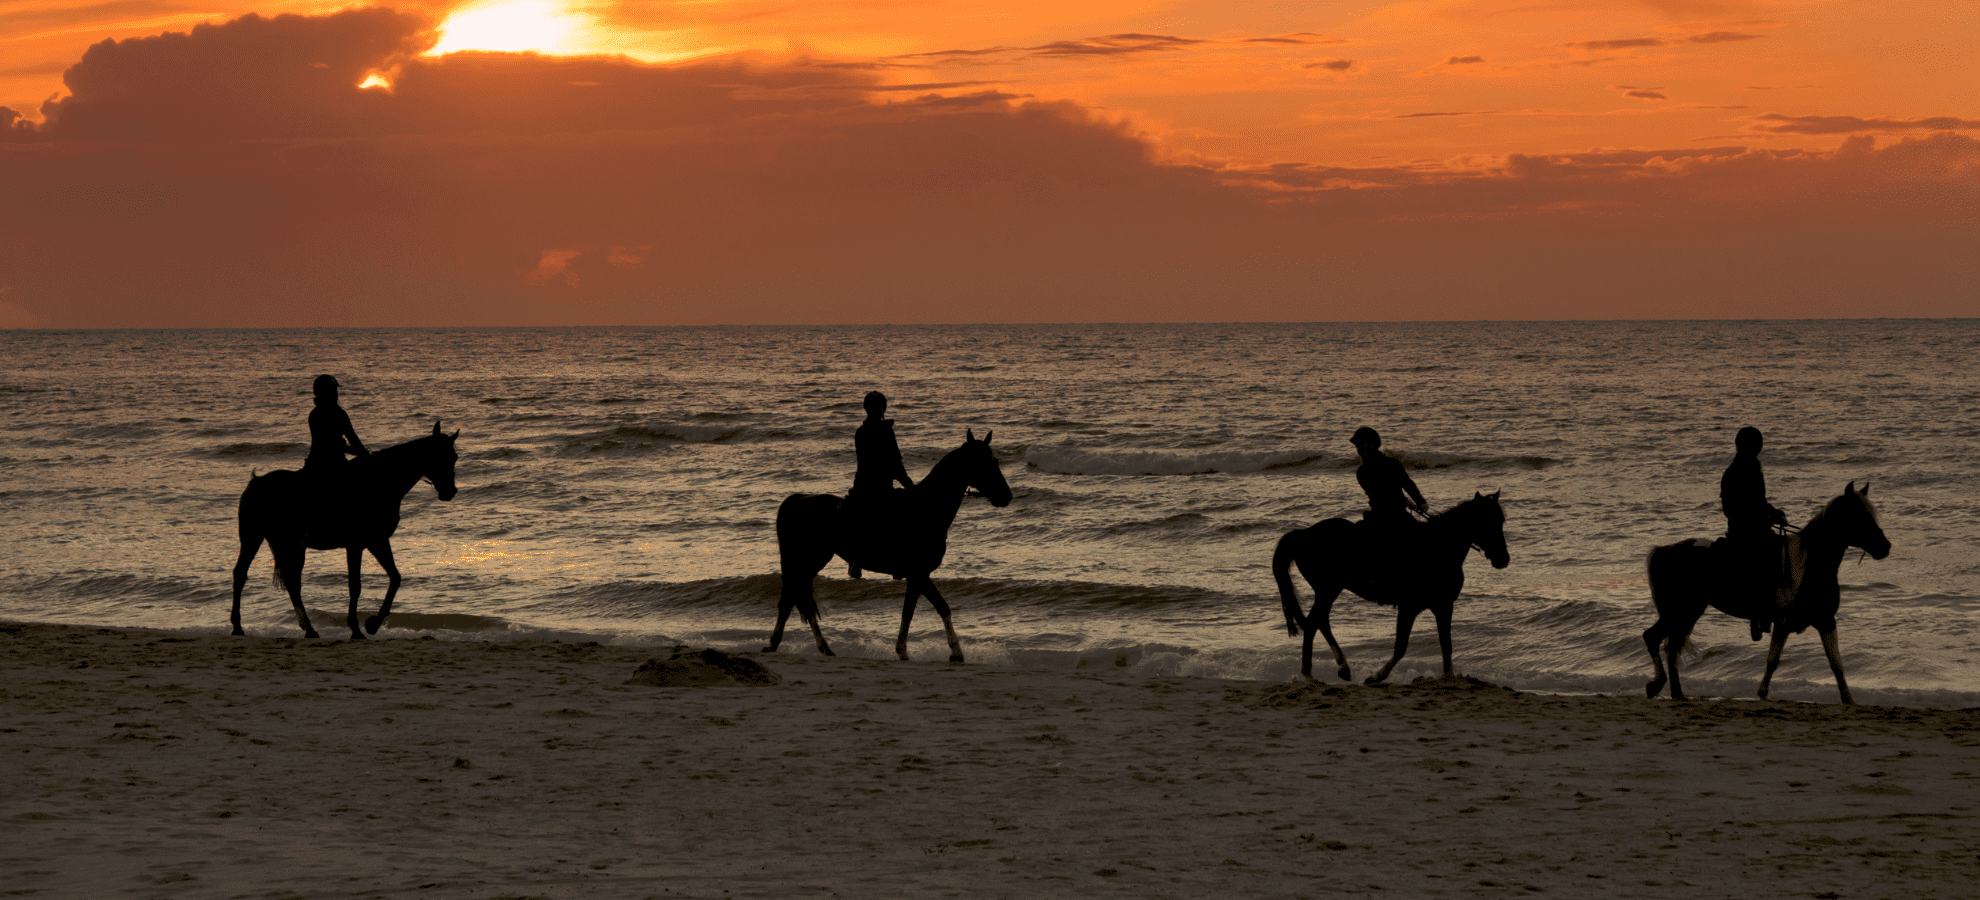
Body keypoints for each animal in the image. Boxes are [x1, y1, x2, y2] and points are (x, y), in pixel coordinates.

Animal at [229, 423, 461, 640]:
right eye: (439, 455)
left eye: (454, 456)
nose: (450, 491)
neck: (379, 482)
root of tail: (255, 483)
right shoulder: (356, 545)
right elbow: (355, 586)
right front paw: (356, 629)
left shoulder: (377, 541)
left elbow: (395, 578)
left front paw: (373, 625)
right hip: (255, 537)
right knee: (244, 574)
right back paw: (239, 627)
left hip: (288, 543)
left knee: (290, 582)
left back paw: (308, 629)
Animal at [768, 433, 1013, 664]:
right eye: (983, 463)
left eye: (995, 460)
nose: (1006, 496)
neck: (926, 510)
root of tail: (796, 500)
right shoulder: (919, 573)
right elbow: (940, 607)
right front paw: (955, 652)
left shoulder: (917, 577)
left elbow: (910, 612)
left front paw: (903, 650)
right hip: (808, 560)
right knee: (791, 599)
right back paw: (783, 645)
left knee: (795, 599)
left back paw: (813, 647)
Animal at [1275, 492, 1504, 684]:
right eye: (1487, 521)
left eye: (1501, 521)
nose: (1503, 559)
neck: (1439, 548)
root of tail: (1303, 534)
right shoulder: (1410, 607)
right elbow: (1401, 646)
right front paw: (1376, 676)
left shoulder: (1443, 605)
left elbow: (1446, 644)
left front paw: (1449, 677)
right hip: (1328, 589)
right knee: (1314, 622)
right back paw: (1310, 675)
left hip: (1327, 591)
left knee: (1320, 621)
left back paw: (1342, 668)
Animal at [1631, 482, 1892, 708]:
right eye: (1858, 514)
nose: (1885, 546)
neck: (1811, 565)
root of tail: (1663, 550)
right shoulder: (1789, 622)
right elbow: (1774, 661)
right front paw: (1763, 695)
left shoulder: (1823, 621)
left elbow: (1834, 664)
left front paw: (1849, 700)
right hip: (1680, 610)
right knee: (1653, 638)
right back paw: (1657, 686)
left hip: (1688, 612)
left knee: (1670, 648)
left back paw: (1676, 693)